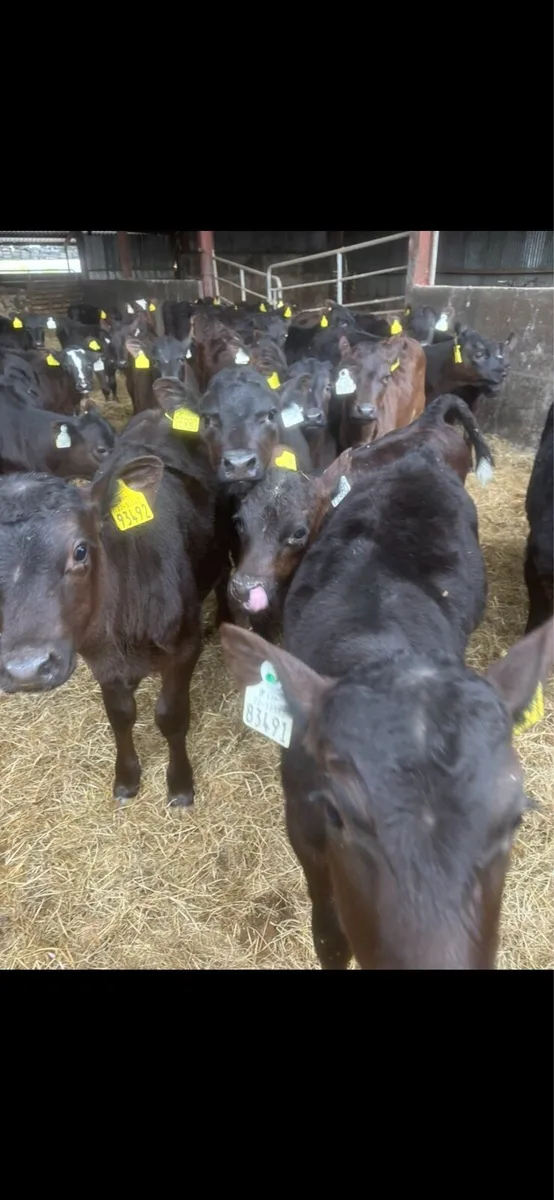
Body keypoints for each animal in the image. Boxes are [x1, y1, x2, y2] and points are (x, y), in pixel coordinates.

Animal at [0, 422, 220, 809]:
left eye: (80, 550)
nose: (26, 669)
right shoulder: (100, 659)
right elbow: (120, 715)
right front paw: (127, 778)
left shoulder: (185, 647)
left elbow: (171, 715)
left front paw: (180, 784)